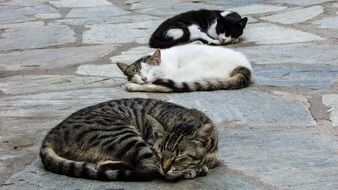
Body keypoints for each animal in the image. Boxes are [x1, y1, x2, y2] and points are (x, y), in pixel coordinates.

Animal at [40, 98, 219, 180]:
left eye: (179, 157)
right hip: (124, 135)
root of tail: (51, 134)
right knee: (146, 169)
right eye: (159, 154)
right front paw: (193, 169)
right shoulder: (151, 147)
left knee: (103, 164)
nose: (165, 168)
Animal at [117, 43, 252, 93]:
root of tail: (244, 66)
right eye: (137, 74)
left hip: (190, 69)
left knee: (166, 87)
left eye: (149, 70)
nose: (144, 78)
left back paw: (133, 86)